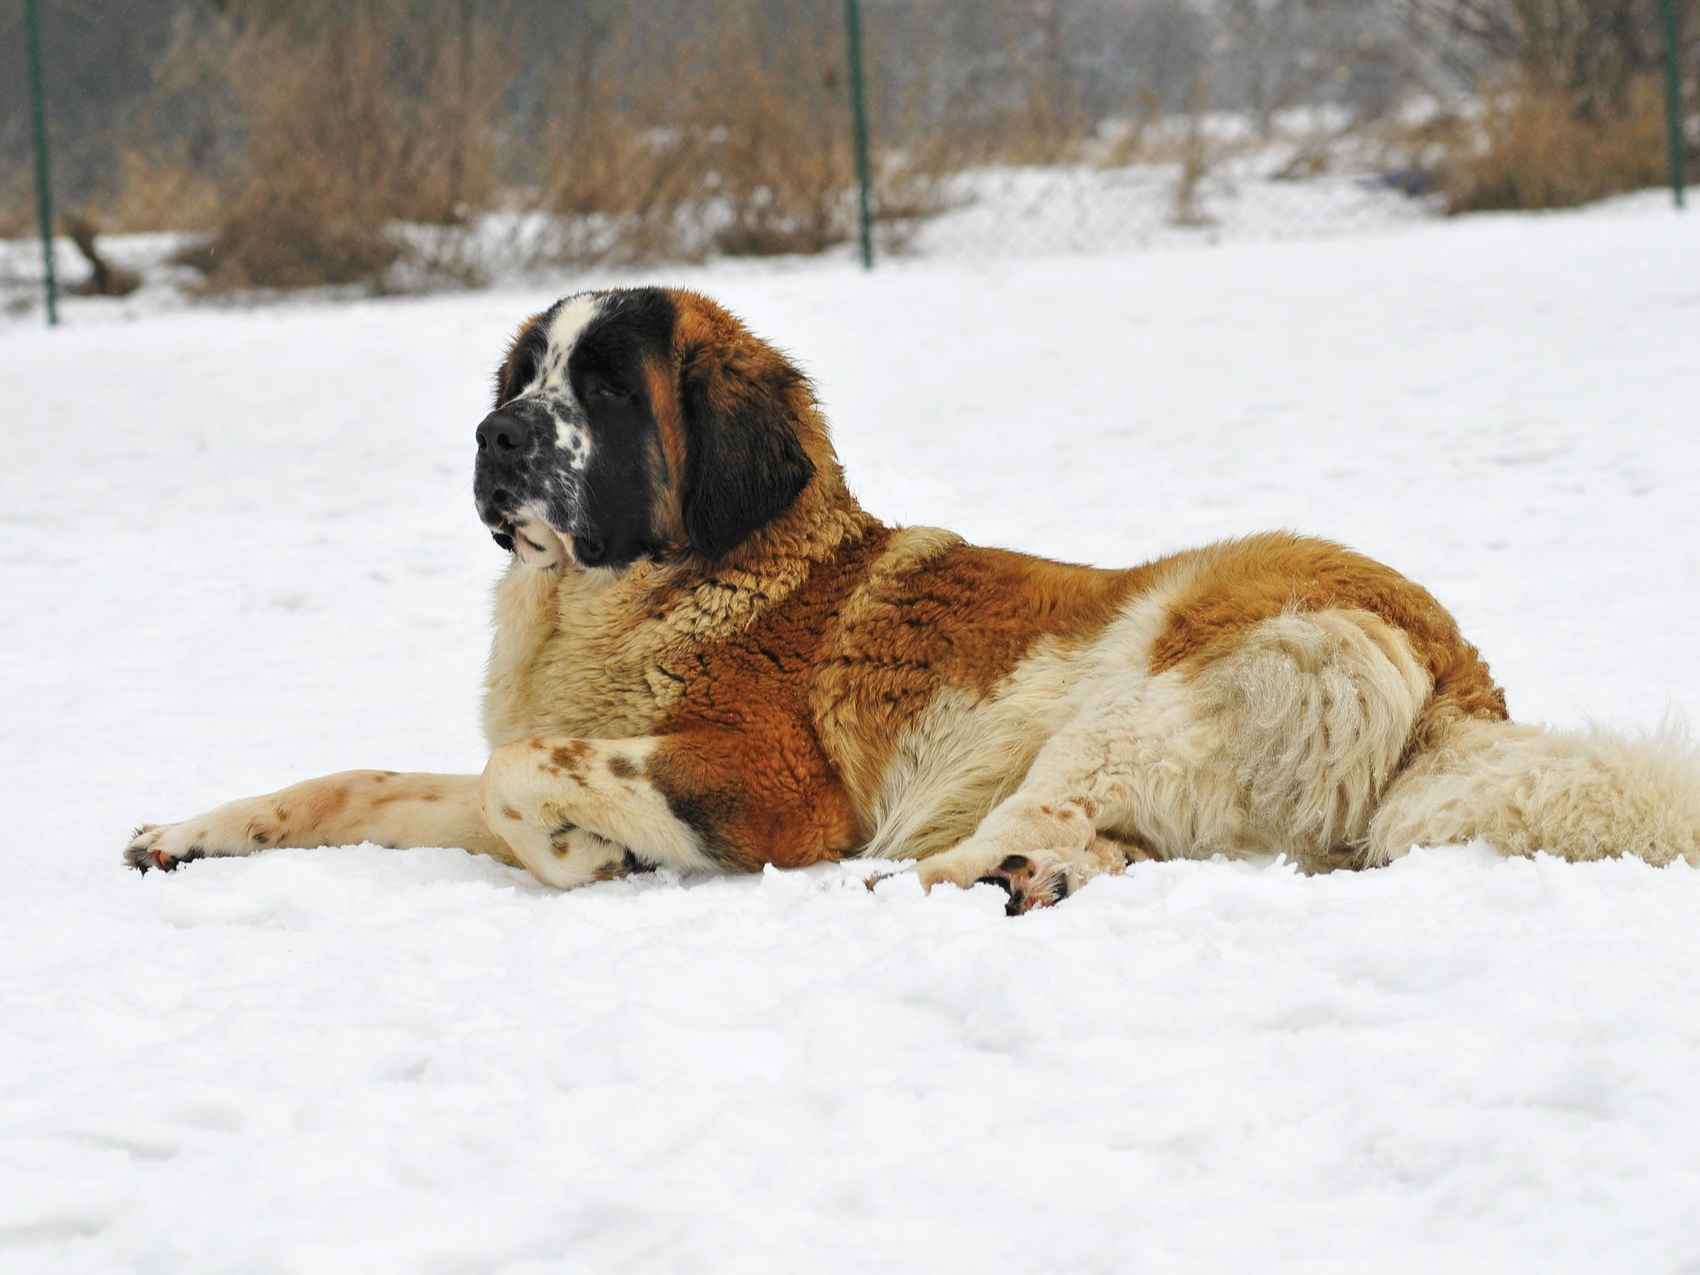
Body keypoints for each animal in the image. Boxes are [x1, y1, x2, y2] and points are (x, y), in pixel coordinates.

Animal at [123, 289, 1700, 911]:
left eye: (603, 392)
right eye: (525, 377)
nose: (497, 438)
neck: (663, 589)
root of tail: (1460, 684)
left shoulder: (775, 785)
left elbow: (528, 774)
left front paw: (591, 853)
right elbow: (357, 779)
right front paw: (189, 829)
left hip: (1144, 670)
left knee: (1045, 811)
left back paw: (935, 879)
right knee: (1102, 848)